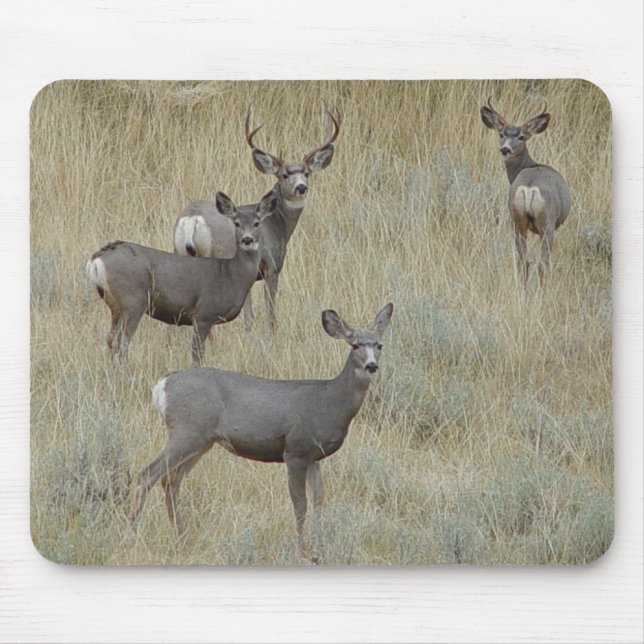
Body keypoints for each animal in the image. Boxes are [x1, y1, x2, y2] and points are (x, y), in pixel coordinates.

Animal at [86, 190, 277, 367]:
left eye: (257, 223)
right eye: (236, 223)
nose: (247, 240)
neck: (230, 275)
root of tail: (96, 260)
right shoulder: (203, 314)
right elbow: (196, 355)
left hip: (115, 306)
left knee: (111, 340)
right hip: (133, 301)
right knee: (122, 343)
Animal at [126, 302, 394, 563]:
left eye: (379, 344)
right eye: (355, 345)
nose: (372, 365)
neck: (330, 402)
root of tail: (162, 386)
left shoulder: (314, 457)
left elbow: (319, 500)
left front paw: (319, 549)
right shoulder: (295, 450)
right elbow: (300, 505)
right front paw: (302, 551)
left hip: (202, 441)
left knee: (171, 481)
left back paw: (182, 539)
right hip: (187, 430)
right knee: (146, 475)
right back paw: (134, 536)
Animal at [480, 98, 571, 287]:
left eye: (521, 137)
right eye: (501, 134)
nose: (505, 149)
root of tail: (529, 188)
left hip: (517, 220)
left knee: (524, 262)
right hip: (547, 222)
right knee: (543, 263)